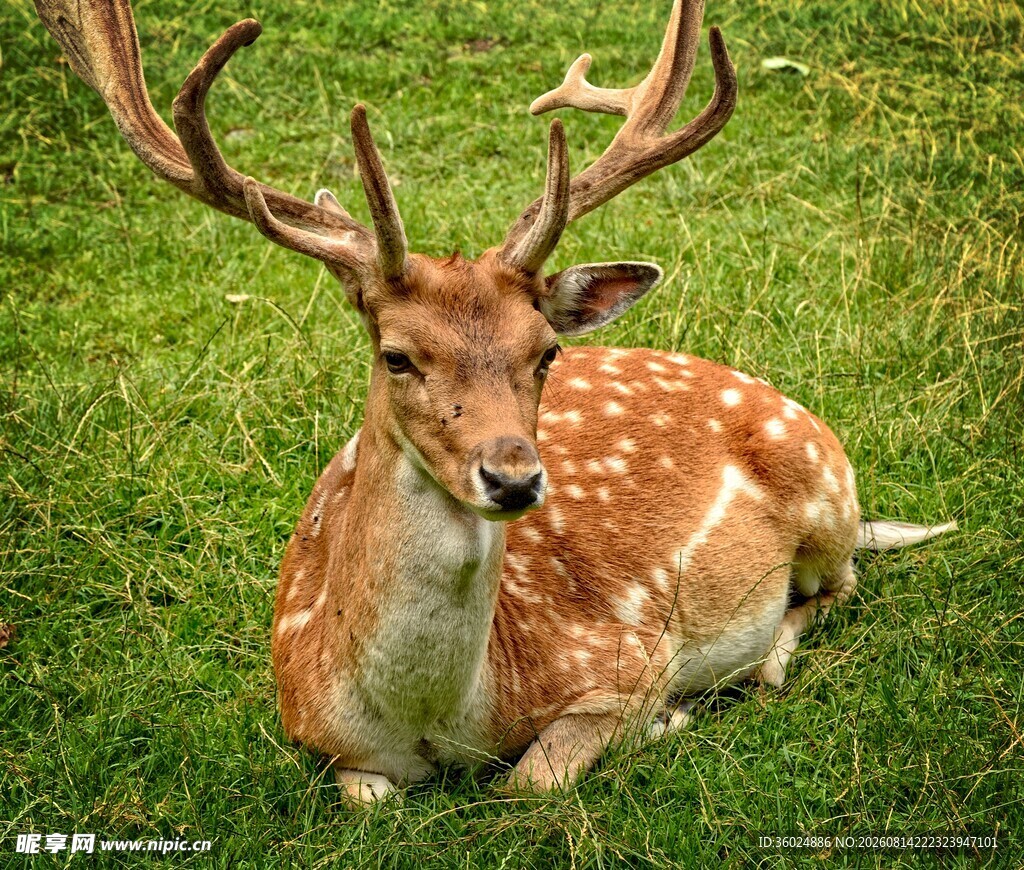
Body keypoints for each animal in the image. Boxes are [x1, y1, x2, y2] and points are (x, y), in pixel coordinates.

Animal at [37, 0, 956, 805]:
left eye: (544, 351)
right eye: (397, 355)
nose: (513, 478)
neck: (439, 718)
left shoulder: (626, 657)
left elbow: (531, 782)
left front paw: (666, 722)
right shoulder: (314, 732)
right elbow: (368, 799)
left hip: (823, 494)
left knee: (837, 587)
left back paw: (765, 663)